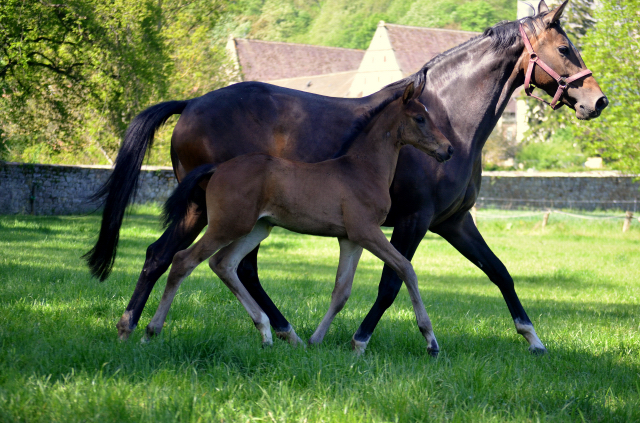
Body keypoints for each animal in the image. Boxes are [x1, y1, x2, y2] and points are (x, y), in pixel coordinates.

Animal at [148, 82, 452, 354]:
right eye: (420, 118)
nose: (447, 149)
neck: (362, 169)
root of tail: (217, 169)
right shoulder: (366, 231)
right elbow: (406, 268)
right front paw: (431, 341)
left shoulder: (350, 239)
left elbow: (341, 291)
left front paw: (317, 341)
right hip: (228, 225)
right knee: (183, 260)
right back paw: (151, 330)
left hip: (257, 228)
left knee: (223, 263)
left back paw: (267, 333)